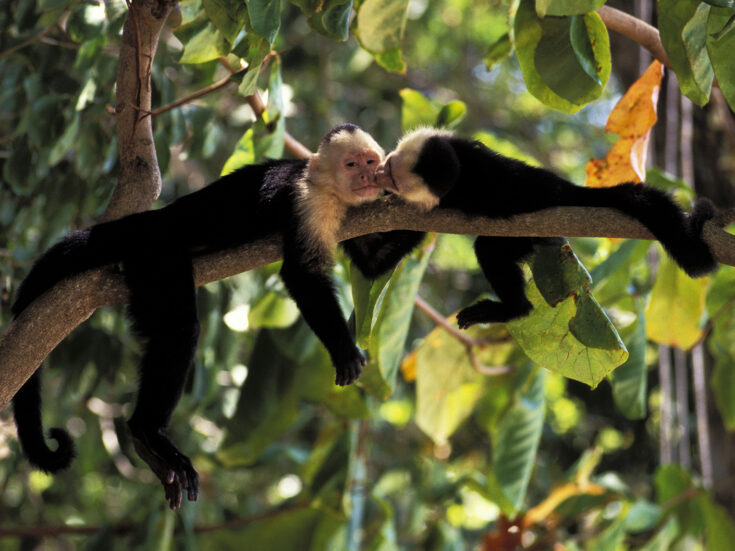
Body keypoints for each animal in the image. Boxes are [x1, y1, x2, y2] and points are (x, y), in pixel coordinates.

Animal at [10, 123, 386, 509]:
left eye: (371, 162)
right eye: (352, 163)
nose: (368, 175)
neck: (327, 186)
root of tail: (155, 218)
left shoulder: (355, 214)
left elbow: (373, 264)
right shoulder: (307, 202)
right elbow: (302, 274)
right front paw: (343, 351)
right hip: (157, 254)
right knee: (179, 332)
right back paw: (148, 432)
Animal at [353, 127, 718, 329]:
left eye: (395, 176)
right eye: (389, 166)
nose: (381, 174)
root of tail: (563, 189)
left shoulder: (440, 199)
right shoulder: (450, 142)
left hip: (531, 226)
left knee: (490, 249)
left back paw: (513, 310)